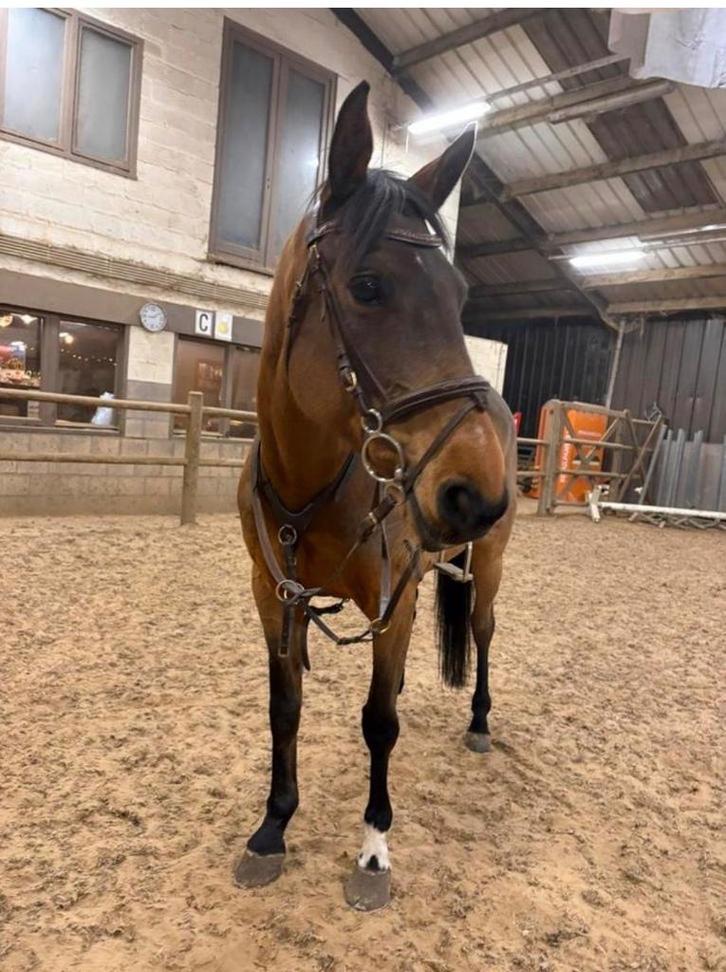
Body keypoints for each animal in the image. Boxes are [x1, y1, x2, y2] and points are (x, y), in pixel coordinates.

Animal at [236, 81, 516, 911]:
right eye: (367, 287)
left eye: (458, 295)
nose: (476, 489)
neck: (313, 488)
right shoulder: (273, 594)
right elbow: (285, 707)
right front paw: (273, 827)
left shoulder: (398, 602)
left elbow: (379, 720)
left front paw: (372, 848)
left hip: (485, 567)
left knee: (484, 633)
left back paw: (480, 721)